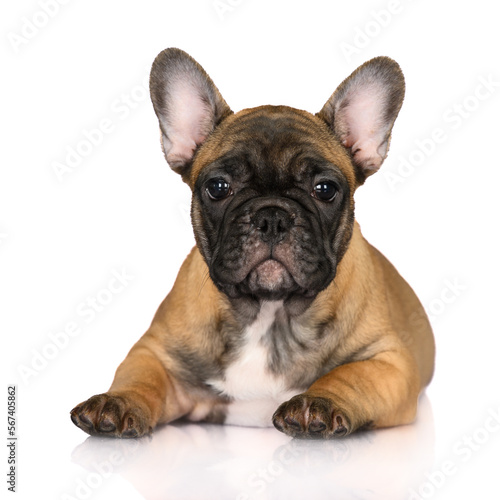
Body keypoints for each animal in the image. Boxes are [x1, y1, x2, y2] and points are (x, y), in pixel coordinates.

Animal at [69, 47, 434, 438]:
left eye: (325, 189)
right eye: (217, 187)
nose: (272, 217)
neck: (269, 313)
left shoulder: (390, 361)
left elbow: (351, 374)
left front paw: (317, 402)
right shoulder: (155, 352)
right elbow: (141, 377)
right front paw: (116, 402)